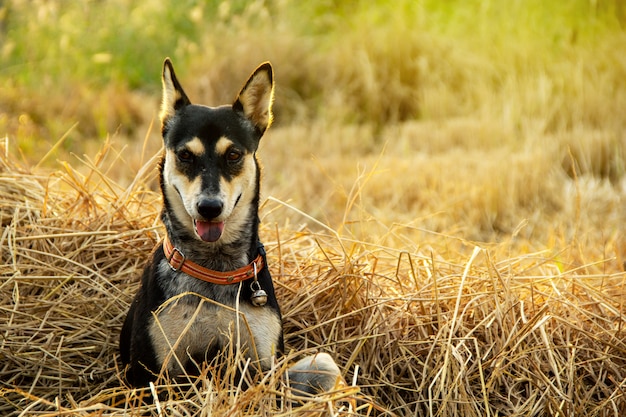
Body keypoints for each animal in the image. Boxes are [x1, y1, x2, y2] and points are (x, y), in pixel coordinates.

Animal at [119, 58, 338, 396]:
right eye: (185, 155)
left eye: (233, 154)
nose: (209, 207)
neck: (214, 268)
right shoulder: (152, 374)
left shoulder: (261, 365)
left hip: (321, 364)